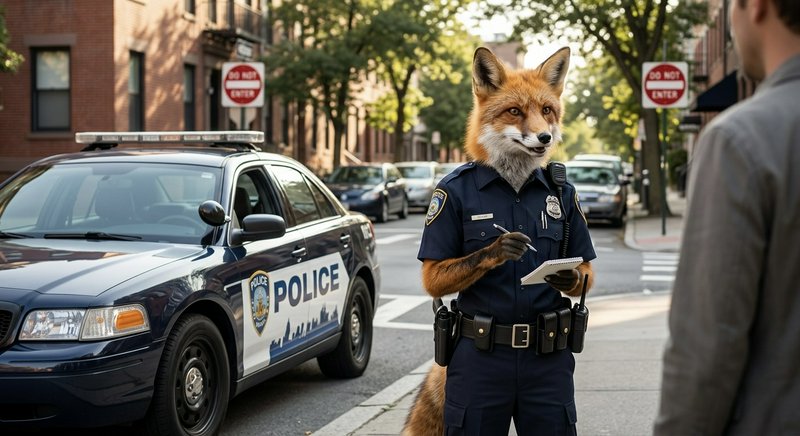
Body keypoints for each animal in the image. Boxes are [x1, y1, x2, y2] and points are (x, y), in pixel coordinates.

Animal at [402, 46, 594, 436]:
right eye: (515, 111)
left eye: (547, 110)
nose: (545, 138)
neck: (514, 183)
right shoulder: (441, 209)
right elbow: (438, 273)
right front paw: (501, 248)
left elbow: (583, 266)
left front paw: (565, 275)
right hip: (473, 405)